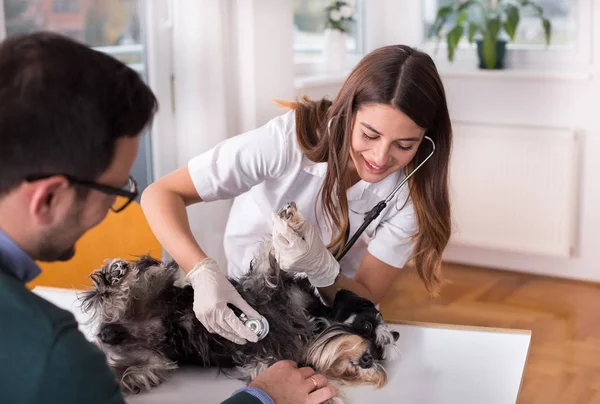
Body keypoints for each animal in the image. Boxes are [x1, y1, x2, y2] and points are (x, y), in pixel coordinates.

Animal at [78, 202, 398, 400]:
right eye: (366, 326)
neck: (312, 322)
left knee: (127, 375)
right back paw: (115, 275)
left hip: (152, 365)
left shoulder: (270, 360)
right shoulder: (262, 287)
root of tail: (109, 332)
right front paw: (292, 224)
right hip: (158, 278)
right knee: (122, 288)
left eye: (381, 351)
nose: (368, 359)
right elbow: (270, 261)